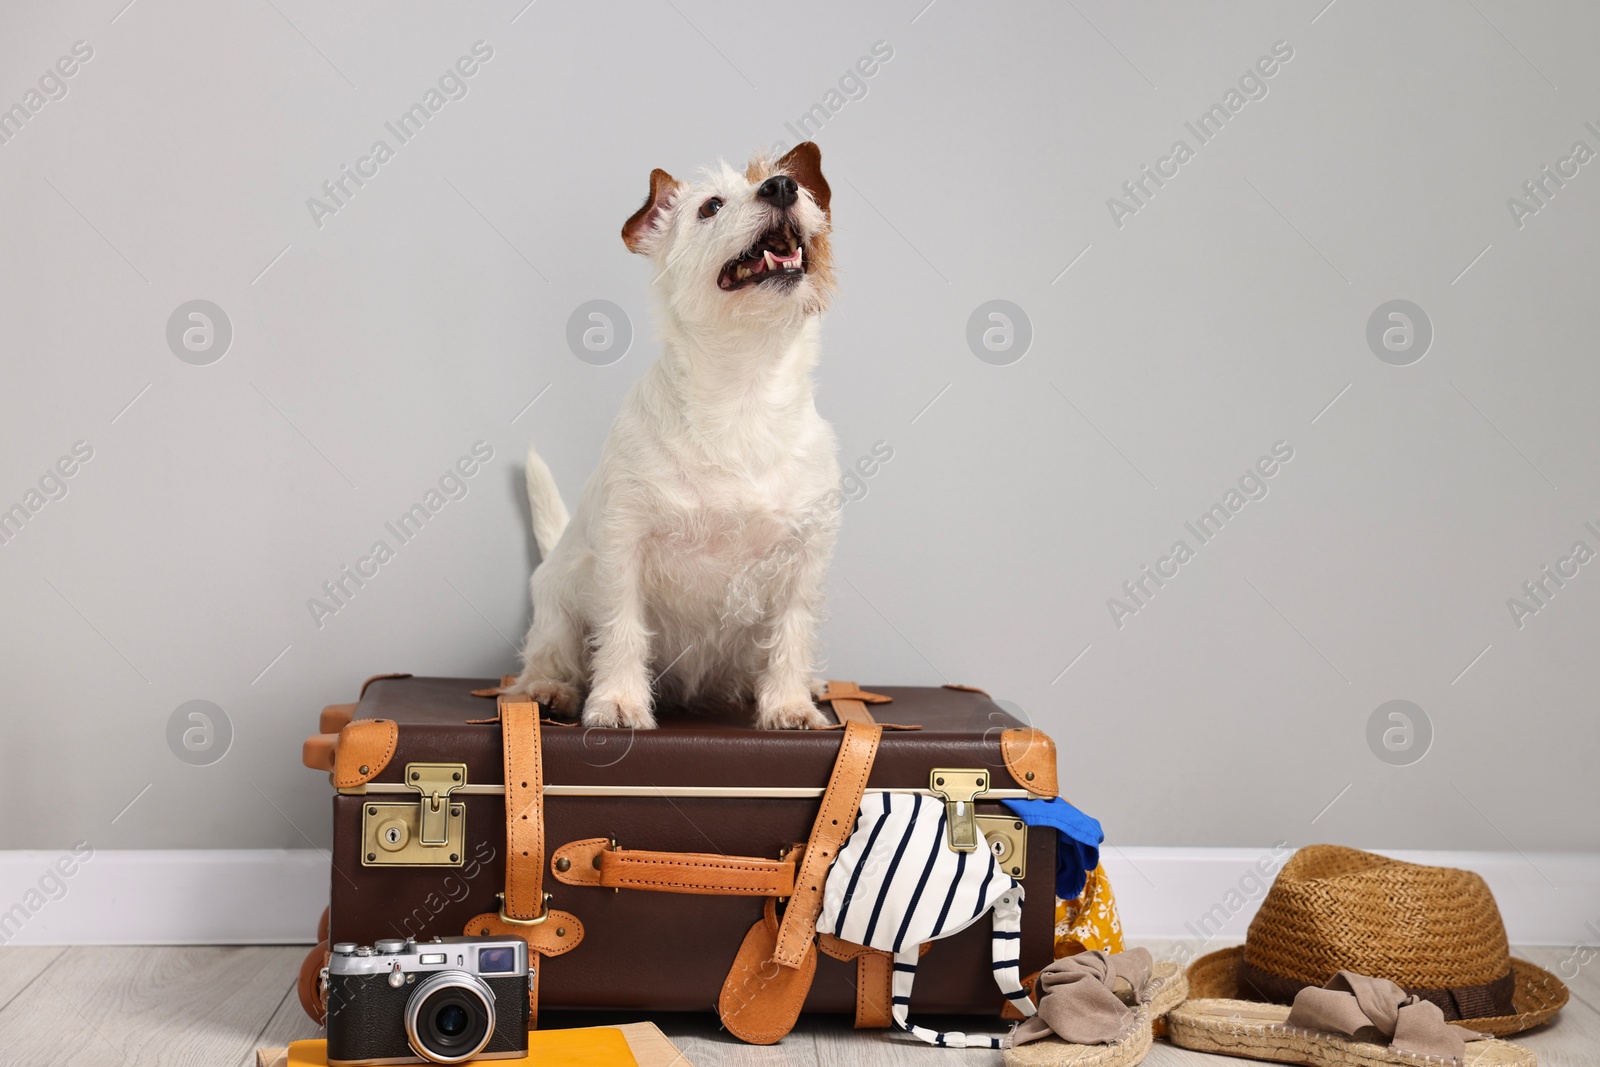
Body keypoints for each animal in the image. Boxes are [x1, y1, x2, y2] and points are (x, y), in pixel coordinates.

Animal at [512, 141, 844, 729]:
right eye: (710, 206)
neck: (742, 394)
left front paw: (789, 704)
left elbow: (793, 631)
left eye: (797, 188)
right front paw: (618, 701)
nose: (782, 187)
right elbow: (621, 627)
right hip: (558, 606)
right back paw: (549, 688)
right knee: (550, 652)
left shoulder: (805, 556)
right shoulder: (624, 543)